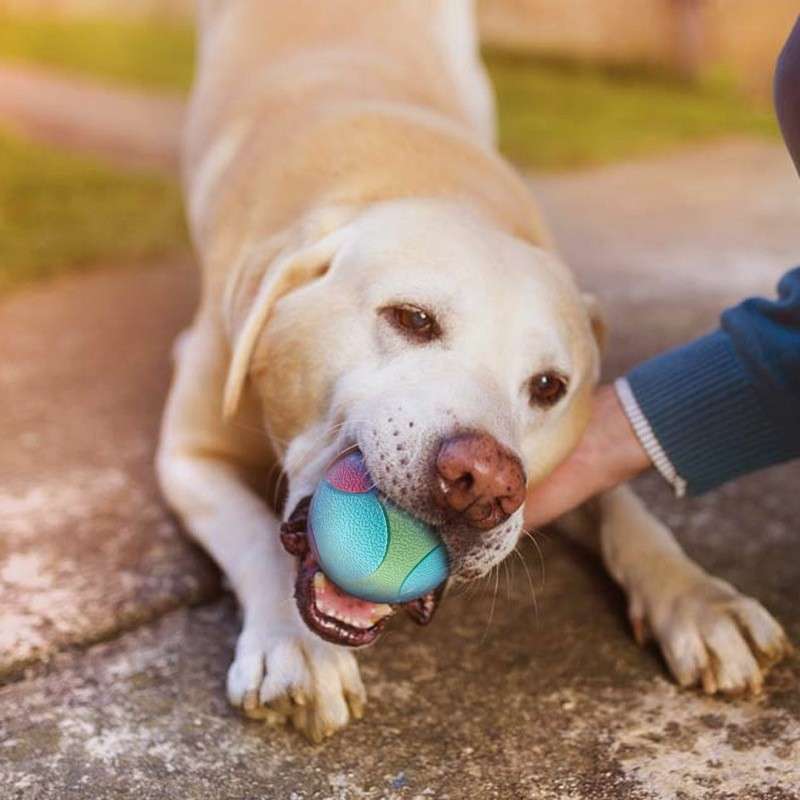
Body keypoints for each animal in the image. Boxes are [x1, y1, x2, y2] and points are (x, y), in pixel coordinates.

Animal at [156, 0, 788, 744]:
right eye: (412, 318)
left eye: (548, 387)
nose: (484, 481)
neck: (420, 174)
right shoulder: (187, 454)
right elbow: (254, 535)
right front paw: (294, 645)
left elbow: (626, 508)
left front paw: (699, 597)